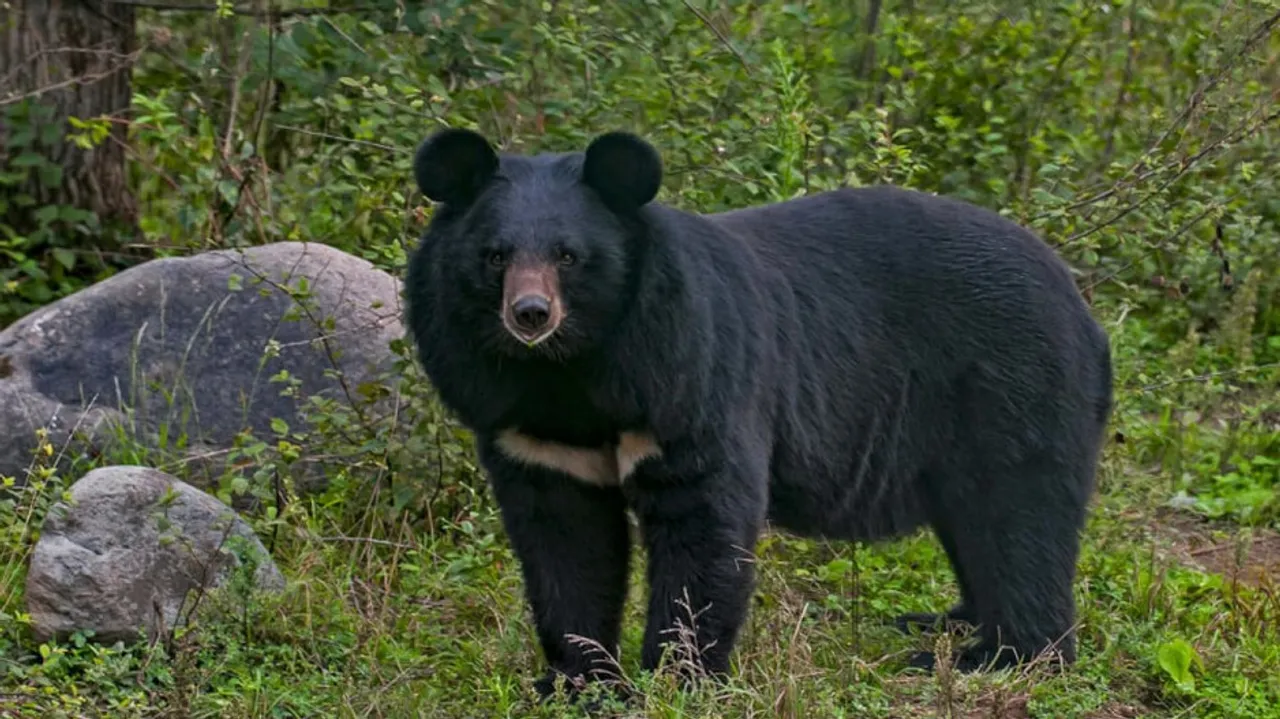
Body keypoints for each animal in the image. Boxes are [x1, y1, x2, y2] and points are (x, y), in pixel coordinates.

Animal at [403, 127, 1114, 701]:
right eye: (495, 255)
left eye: (568, 256)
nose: (530, 315)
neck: (570, 372)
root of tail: (1083, 307)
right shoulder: (528, 427)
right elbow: (563, 540)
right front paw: (578, 681)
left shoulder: (688, 375)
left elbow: (702, 519)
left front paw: (677, 678)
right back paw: (946, 622)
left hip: (1013, 386)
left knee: (1018, 517)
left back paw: (998, 656)